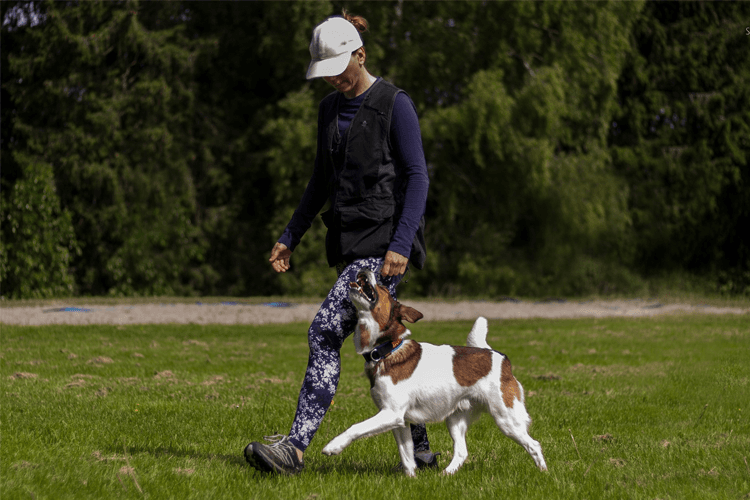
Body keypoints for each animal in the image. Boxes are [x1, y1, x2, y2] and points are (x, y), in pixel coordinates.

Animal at [320, 270, 548, 476]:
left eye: (383, 288)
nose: (364, 269)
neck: (385, 350)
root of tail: (499, 356)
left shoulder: (391, 413)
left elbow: (356, 427)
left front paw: (333, 446)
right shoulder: (399, 421)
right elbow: (406, 456)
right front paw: (411, 479)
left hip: (506, 418)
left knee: (534, 444)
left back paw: (544, 473)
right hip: (455, 419)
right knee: (462, 452)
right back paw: (445, 475)